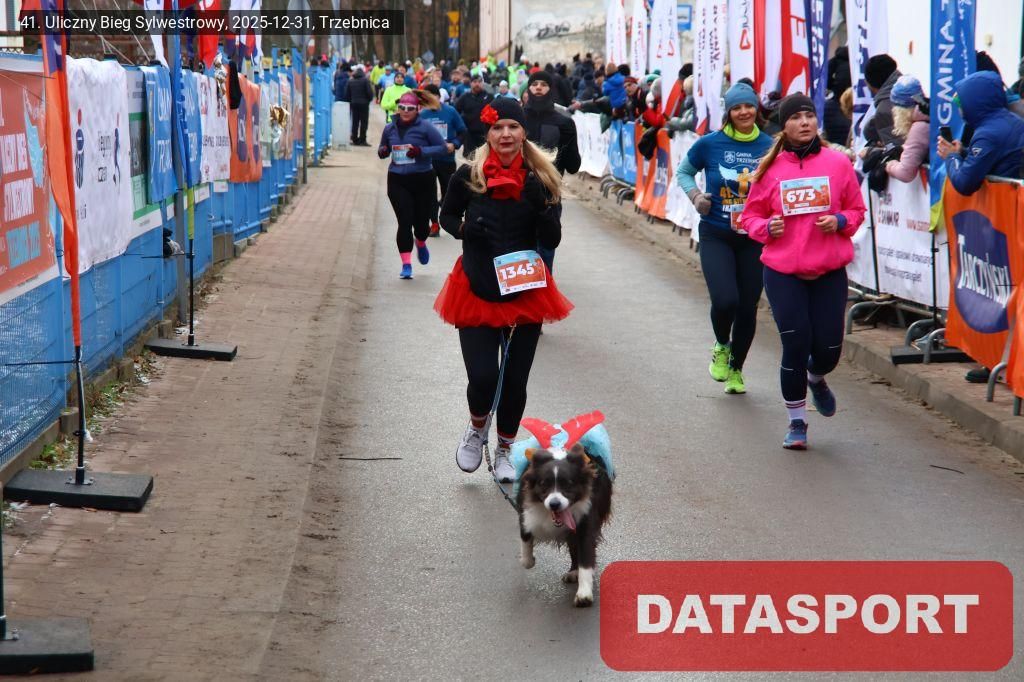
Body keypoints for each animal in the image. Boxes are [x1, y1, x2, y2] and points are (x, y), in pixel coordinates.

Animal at [513, 412, 614, 607]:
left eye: (569, 484)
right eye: (544, 484)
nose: (554, 504)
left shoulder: (585, 518)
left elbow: (586, 555)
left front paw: (584, 594)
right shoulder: (525, 512)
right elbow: (526, 543)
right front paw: (529, 560)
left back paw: (574, 572)